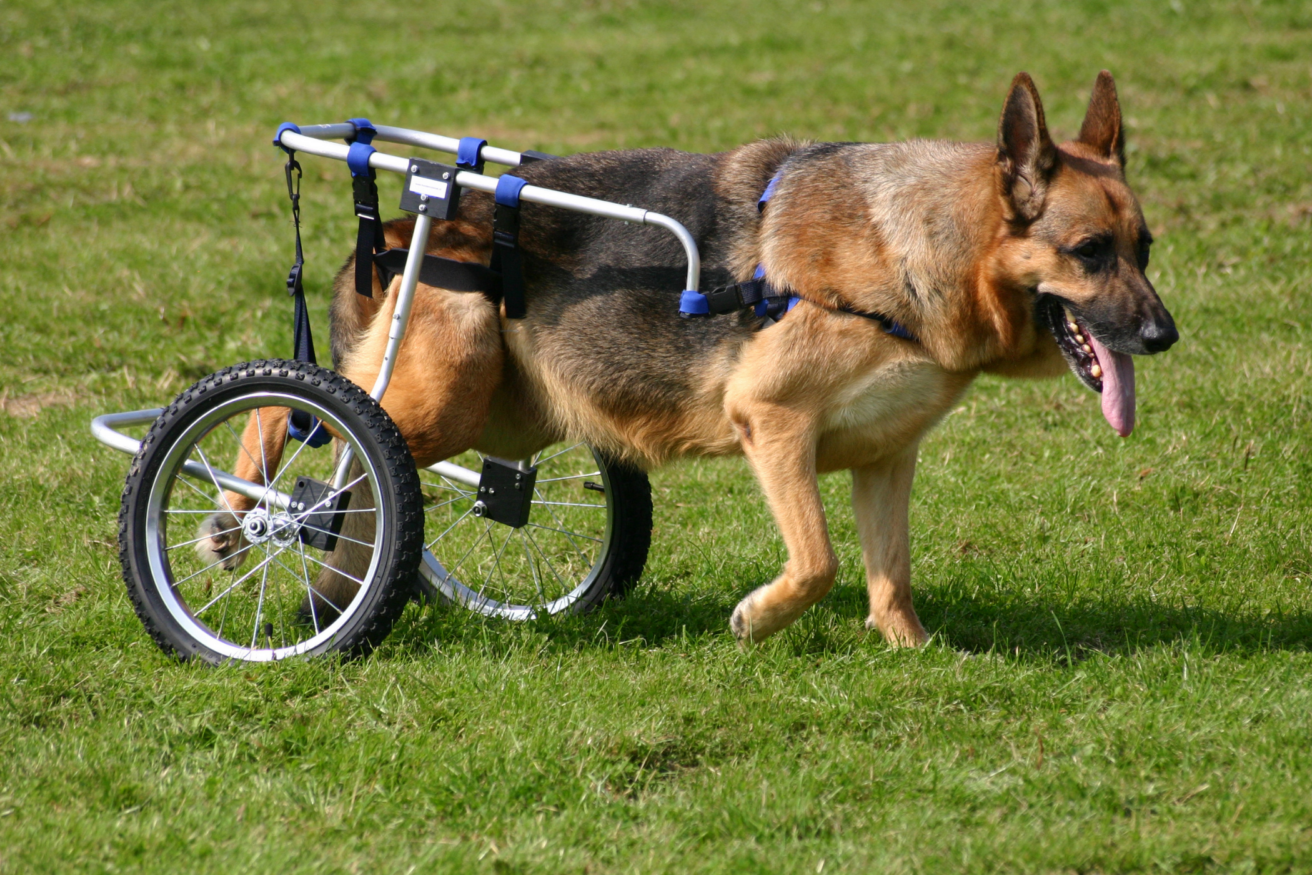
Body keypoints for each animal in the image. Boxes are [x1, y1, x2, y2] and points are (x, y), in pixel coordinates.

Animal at [196, 71, 1180, 648]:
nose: (1165, 337)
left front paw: (911, 653)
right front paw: (756, 617)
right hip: (439, 390)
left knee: (358, 480)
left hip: (487, 407)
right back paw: (236, 516)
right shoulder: (773, 422)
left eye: (1145, 247)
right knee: (294, 423)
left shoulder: (885, 458)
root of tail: (400, 227)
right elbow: (818, 562)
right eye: (1091, 252)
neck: (910, 253)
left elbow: (888, 575)